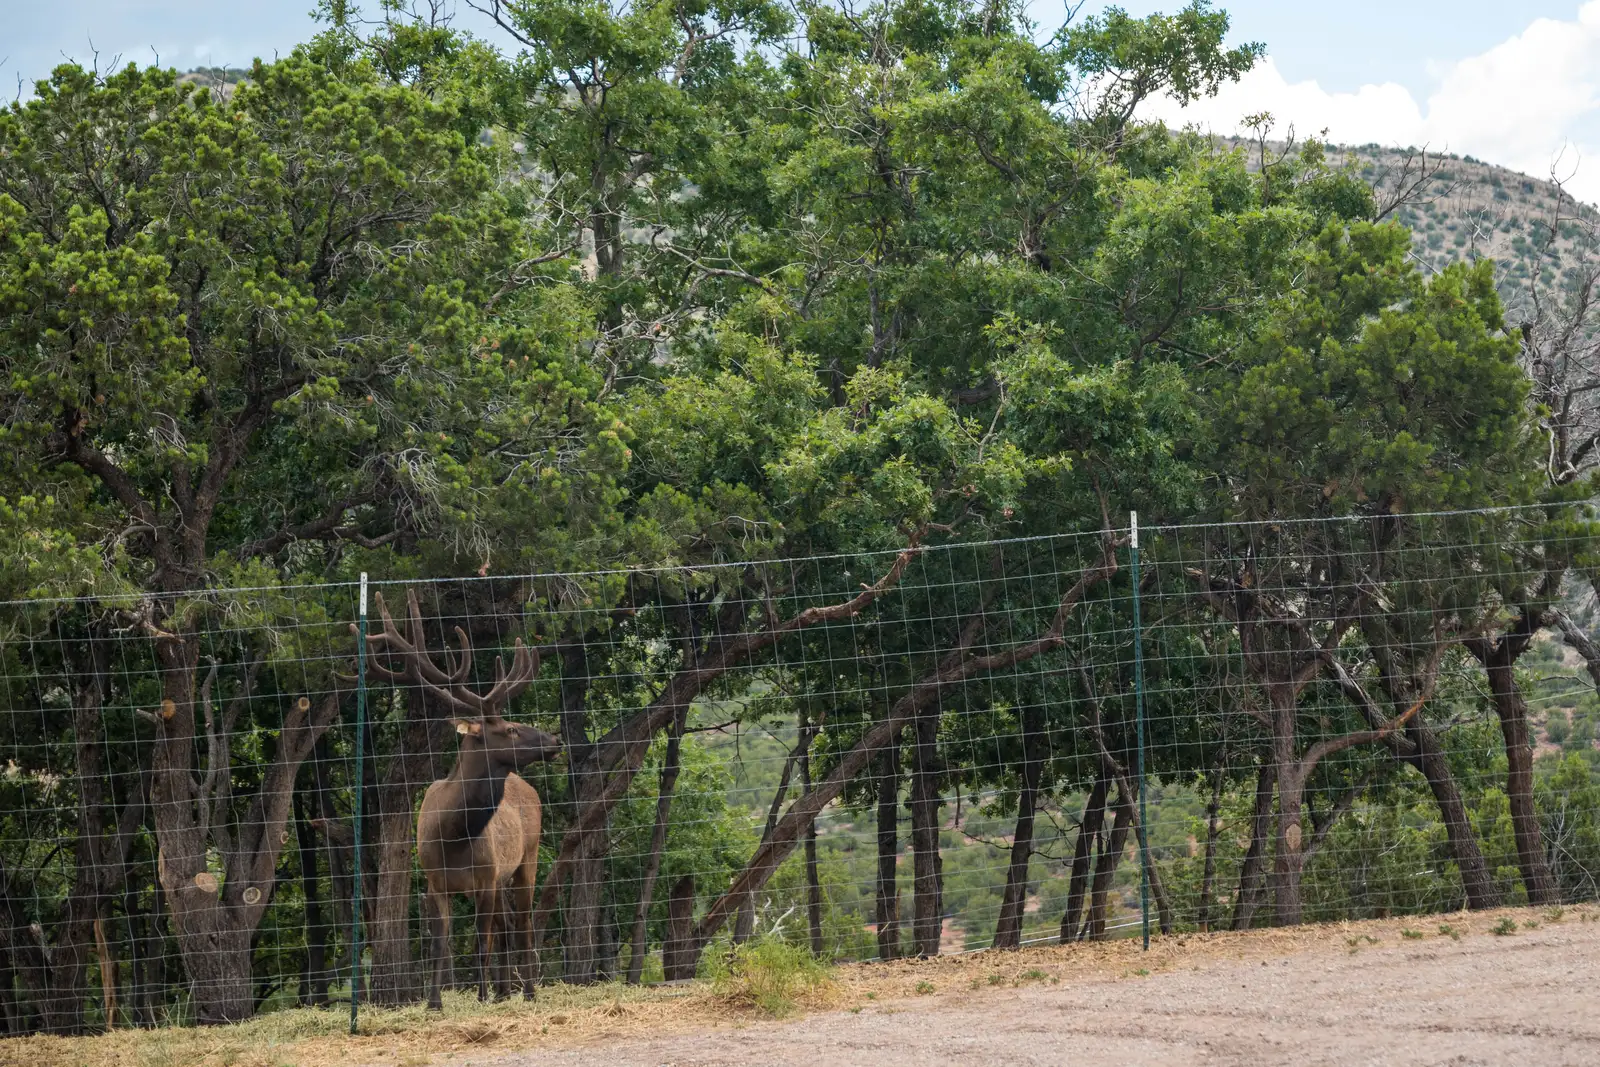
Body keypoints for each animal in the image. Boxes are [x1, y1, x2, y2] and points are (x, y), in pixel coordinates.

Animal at [363, 589, 561, 1009]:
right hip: (502, 875)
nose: (554, 739)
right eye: (510, 729)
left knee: (522, 924)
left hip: (528, 856)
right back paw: (506, 991)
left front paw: (482, 996)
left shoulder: (484, 879)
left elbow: (480, 942)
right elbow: (442, 944)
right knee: (507, 925)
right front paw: (434, 1001)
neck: (452, 835)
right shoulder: (435, 882)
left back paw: (527, 991)